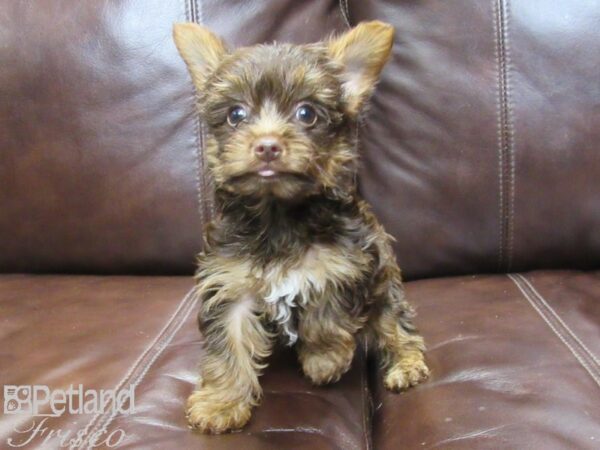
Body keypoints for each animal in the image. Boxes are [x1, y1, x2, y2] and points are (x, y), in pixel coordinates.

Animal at [171, 20, 428, 432]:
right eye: (236, 115)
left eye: (307, 113)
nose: (267, 145)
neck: (278, 216)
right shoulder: (229, 283)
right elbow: (229, 341)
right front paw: (221, 403)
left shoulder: (346, 265)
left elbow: (325, 312)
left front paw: (324, 360)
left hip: (385, 281)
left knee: (394, 323)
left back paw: (405, 364)